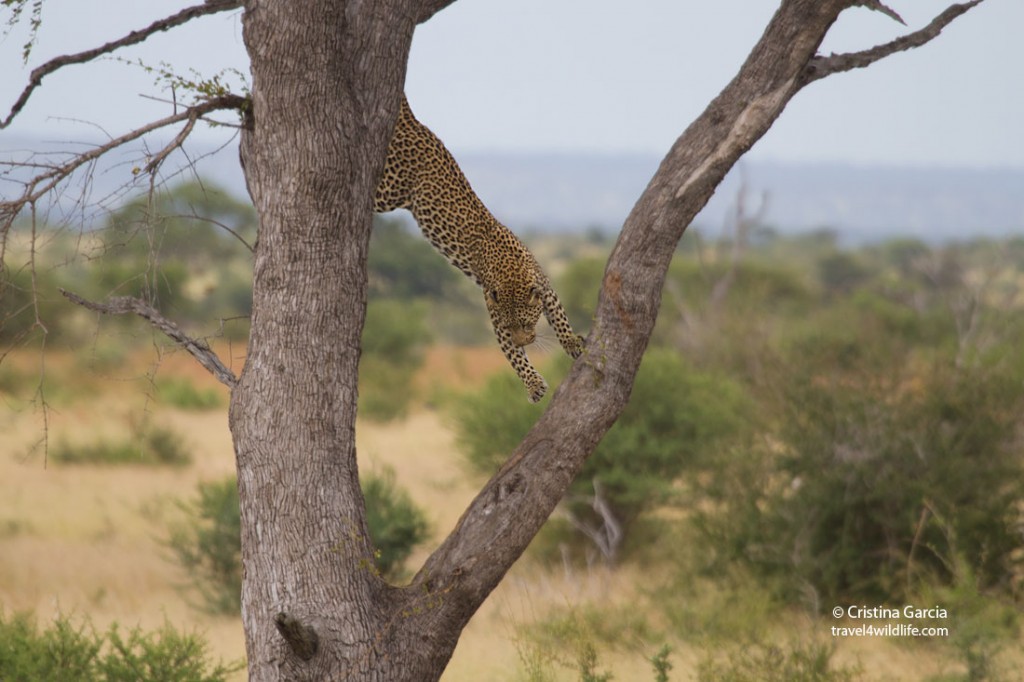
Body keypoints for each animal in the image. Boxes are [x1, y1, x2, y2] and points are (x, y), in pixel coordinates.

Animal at [376, 98, 585, 401]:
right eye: (511, 327)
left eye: (526, 324)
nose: (524, 341)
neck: (512, 272)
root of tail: (415, 124)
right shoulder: (495, 313)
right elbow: (513, 356)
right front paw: (533, 383)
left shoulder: (545, 287)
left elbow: (559, 317)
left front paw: (570, 341)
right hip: (389, 191)